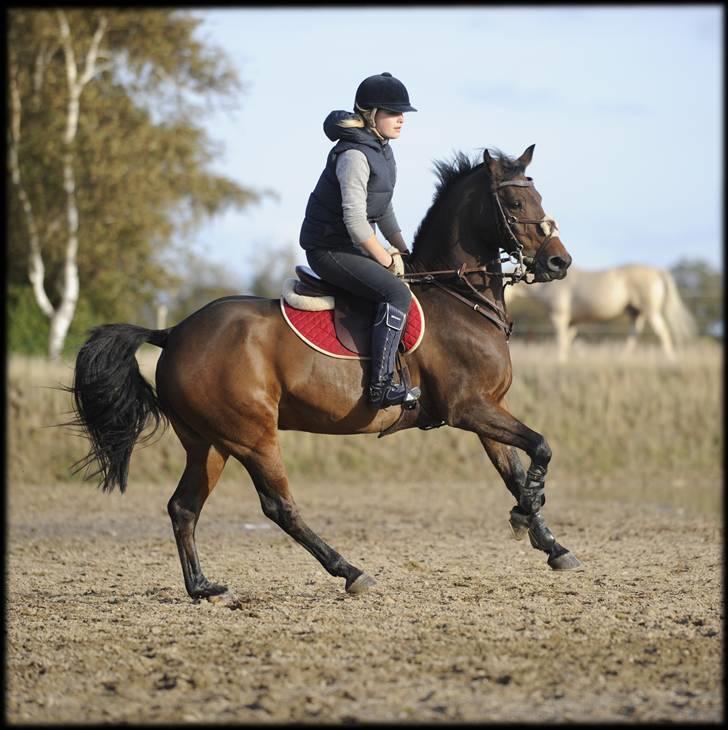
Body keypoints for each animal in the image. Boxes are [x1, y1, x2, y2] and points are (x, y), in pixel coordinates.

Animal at [67, 144, 580, 606]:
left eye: (538, 197)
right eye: (515, 204)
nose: (560, 262)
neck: (459, 297)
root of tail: (173, 332)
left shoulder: (490, 407)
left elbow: (515, 470)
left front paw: (548, 540)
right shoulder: (469, 408)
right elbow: (542, 447)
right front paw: (529, 510)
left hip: (209, 443)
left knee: (184, 507)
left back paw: (203, 588)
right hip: (251, 437)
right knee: (279, 507)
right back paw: (350, 572)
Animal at [505, 264, 697, 362]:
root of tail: (657, 271)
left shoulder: (559, 317)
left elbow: (561, 339)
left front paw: (560, 360)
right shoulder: (572, 322)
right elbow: (569, 339)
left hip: (650, 310)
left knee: (662, 332)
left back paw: (670, 359)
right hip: (636, 313)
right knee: (634, 334)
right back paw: (623, 358)